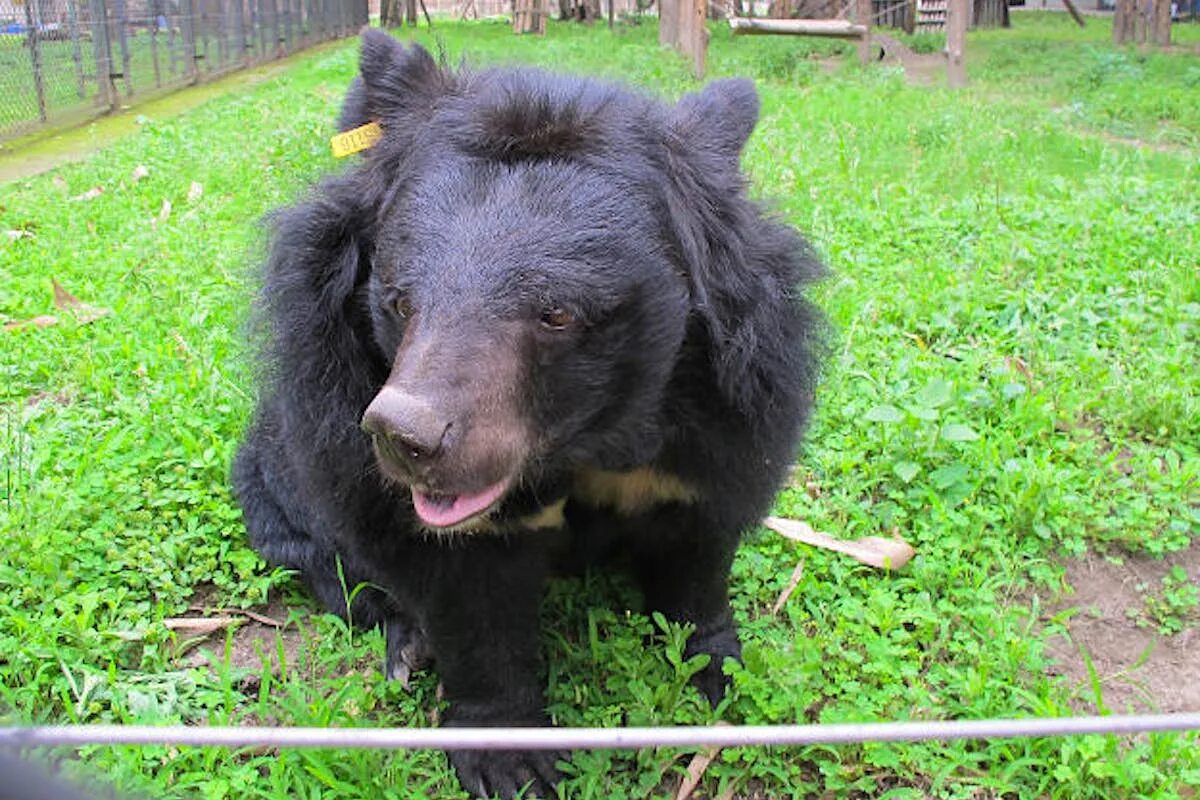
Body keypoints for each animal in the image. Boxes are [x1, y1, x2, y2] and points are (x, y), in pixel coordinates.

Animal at [236, 29, 825, 800]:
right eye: (399, 300)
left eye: (557, 315)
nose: (406, 437)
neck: (582, 443)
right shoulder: (339, 406)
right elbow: (464, 597)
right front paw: (507, 757)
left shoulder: (726, 409)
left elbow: (700, 539)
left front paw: (717, 667)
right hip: (270, 474)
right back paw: (404, 642)